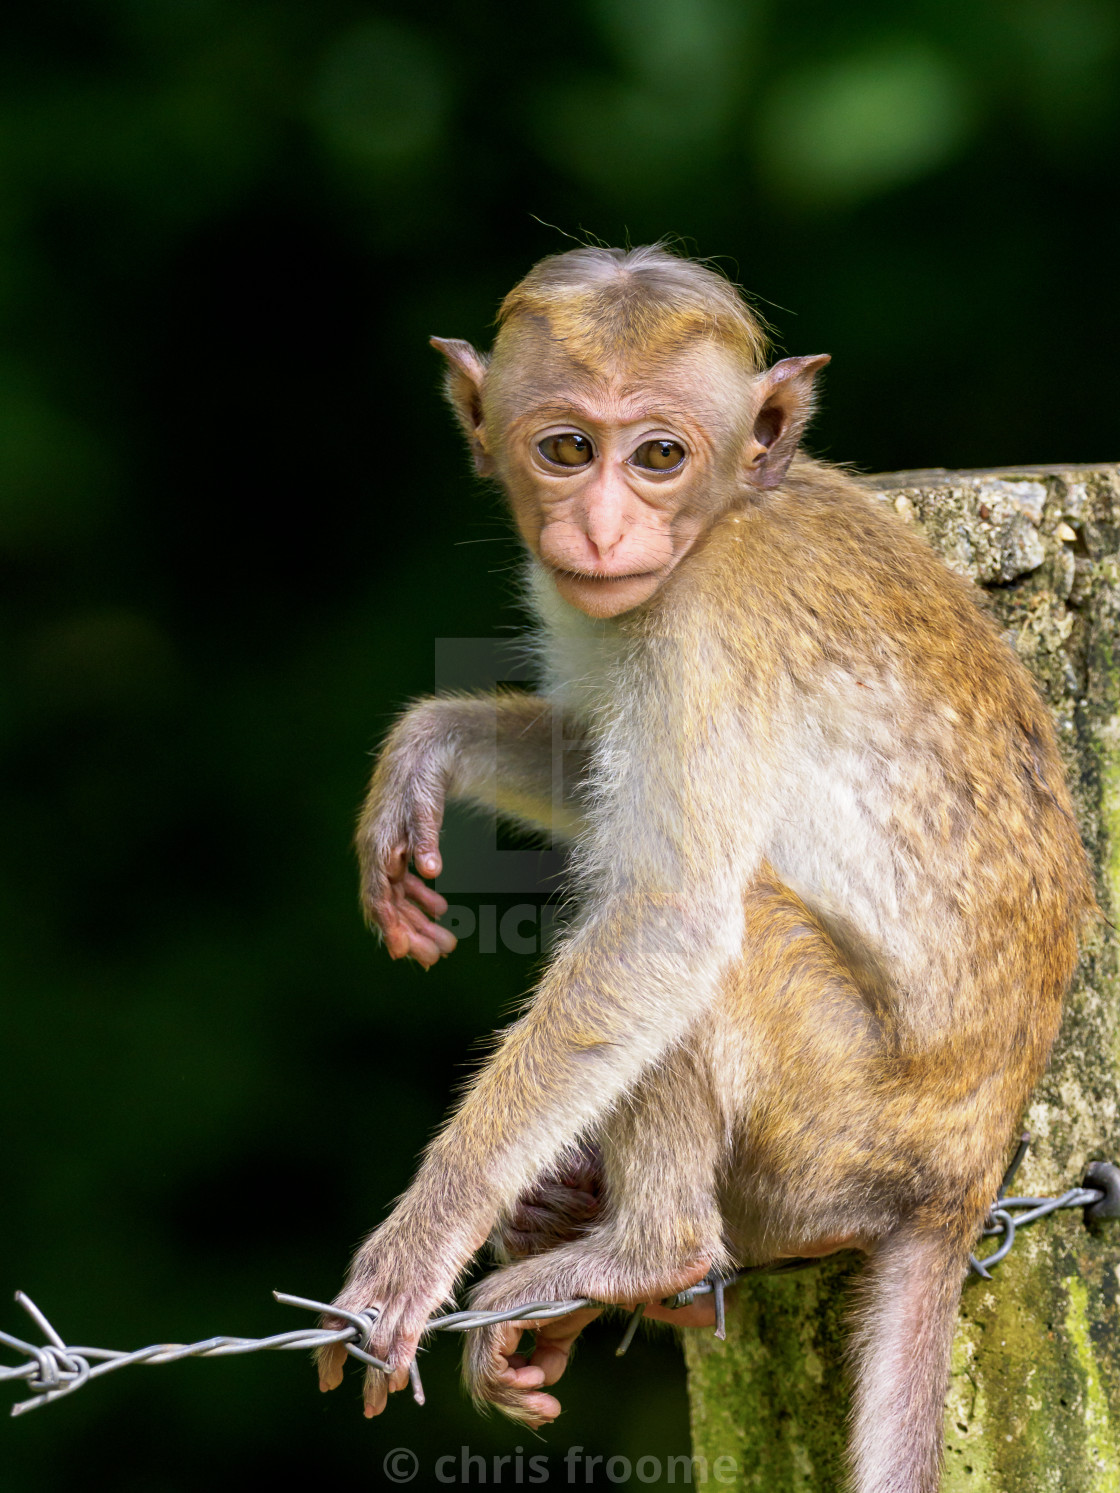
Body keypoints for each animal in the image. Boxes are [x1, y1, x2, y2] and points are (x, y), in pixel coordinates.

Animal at [316, 244, 1099, 1493]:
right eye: (566, 447)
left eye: (660, 456)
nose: (600, 527)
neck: (726, 511)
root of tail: (963, 1178)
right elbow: (595, 757)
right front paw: (427, 748)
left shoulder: (705, 625)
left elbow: (667, 919)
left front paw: (422, 1238)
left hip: (838, 1134)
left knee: (726, 932)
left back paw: (647, 1253)